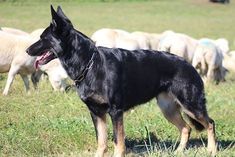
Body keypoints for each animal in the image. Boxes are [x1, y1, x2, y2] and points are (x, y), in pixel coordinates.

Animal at [26, 5, 218, 156]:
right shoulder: (96, 113)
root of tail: (190, 66)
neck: (90, 64)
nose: (27, 50)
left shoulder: (115, 112)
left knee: (210, 123)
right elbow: (102, 142)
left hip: (191, 105)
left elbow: (118, 142)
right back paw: (178, 151)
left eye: (43, 38)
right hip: (168, 108)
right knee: (186, 128)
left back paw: (212, 150)